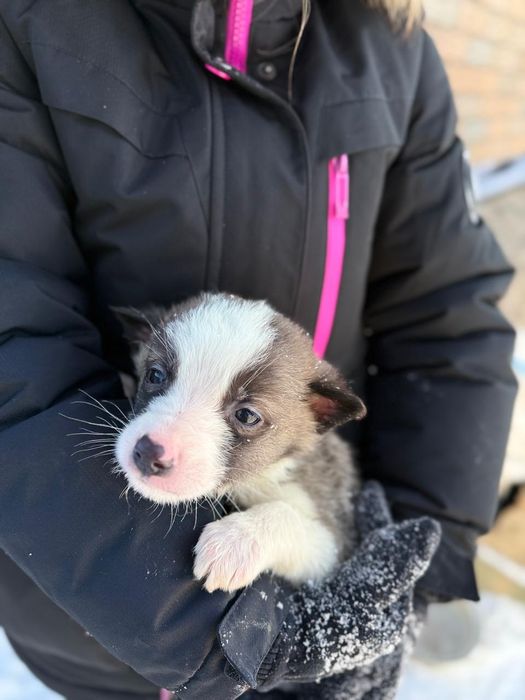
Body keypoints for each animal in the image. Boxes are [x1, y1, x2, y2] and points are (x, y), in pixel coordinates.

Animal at [113, 293, 366, 593]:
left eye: (246, 415)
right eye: (155, 375)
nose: (149, 453)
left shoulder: (334, 543)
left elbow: (287, 516)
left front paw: (234, 541)